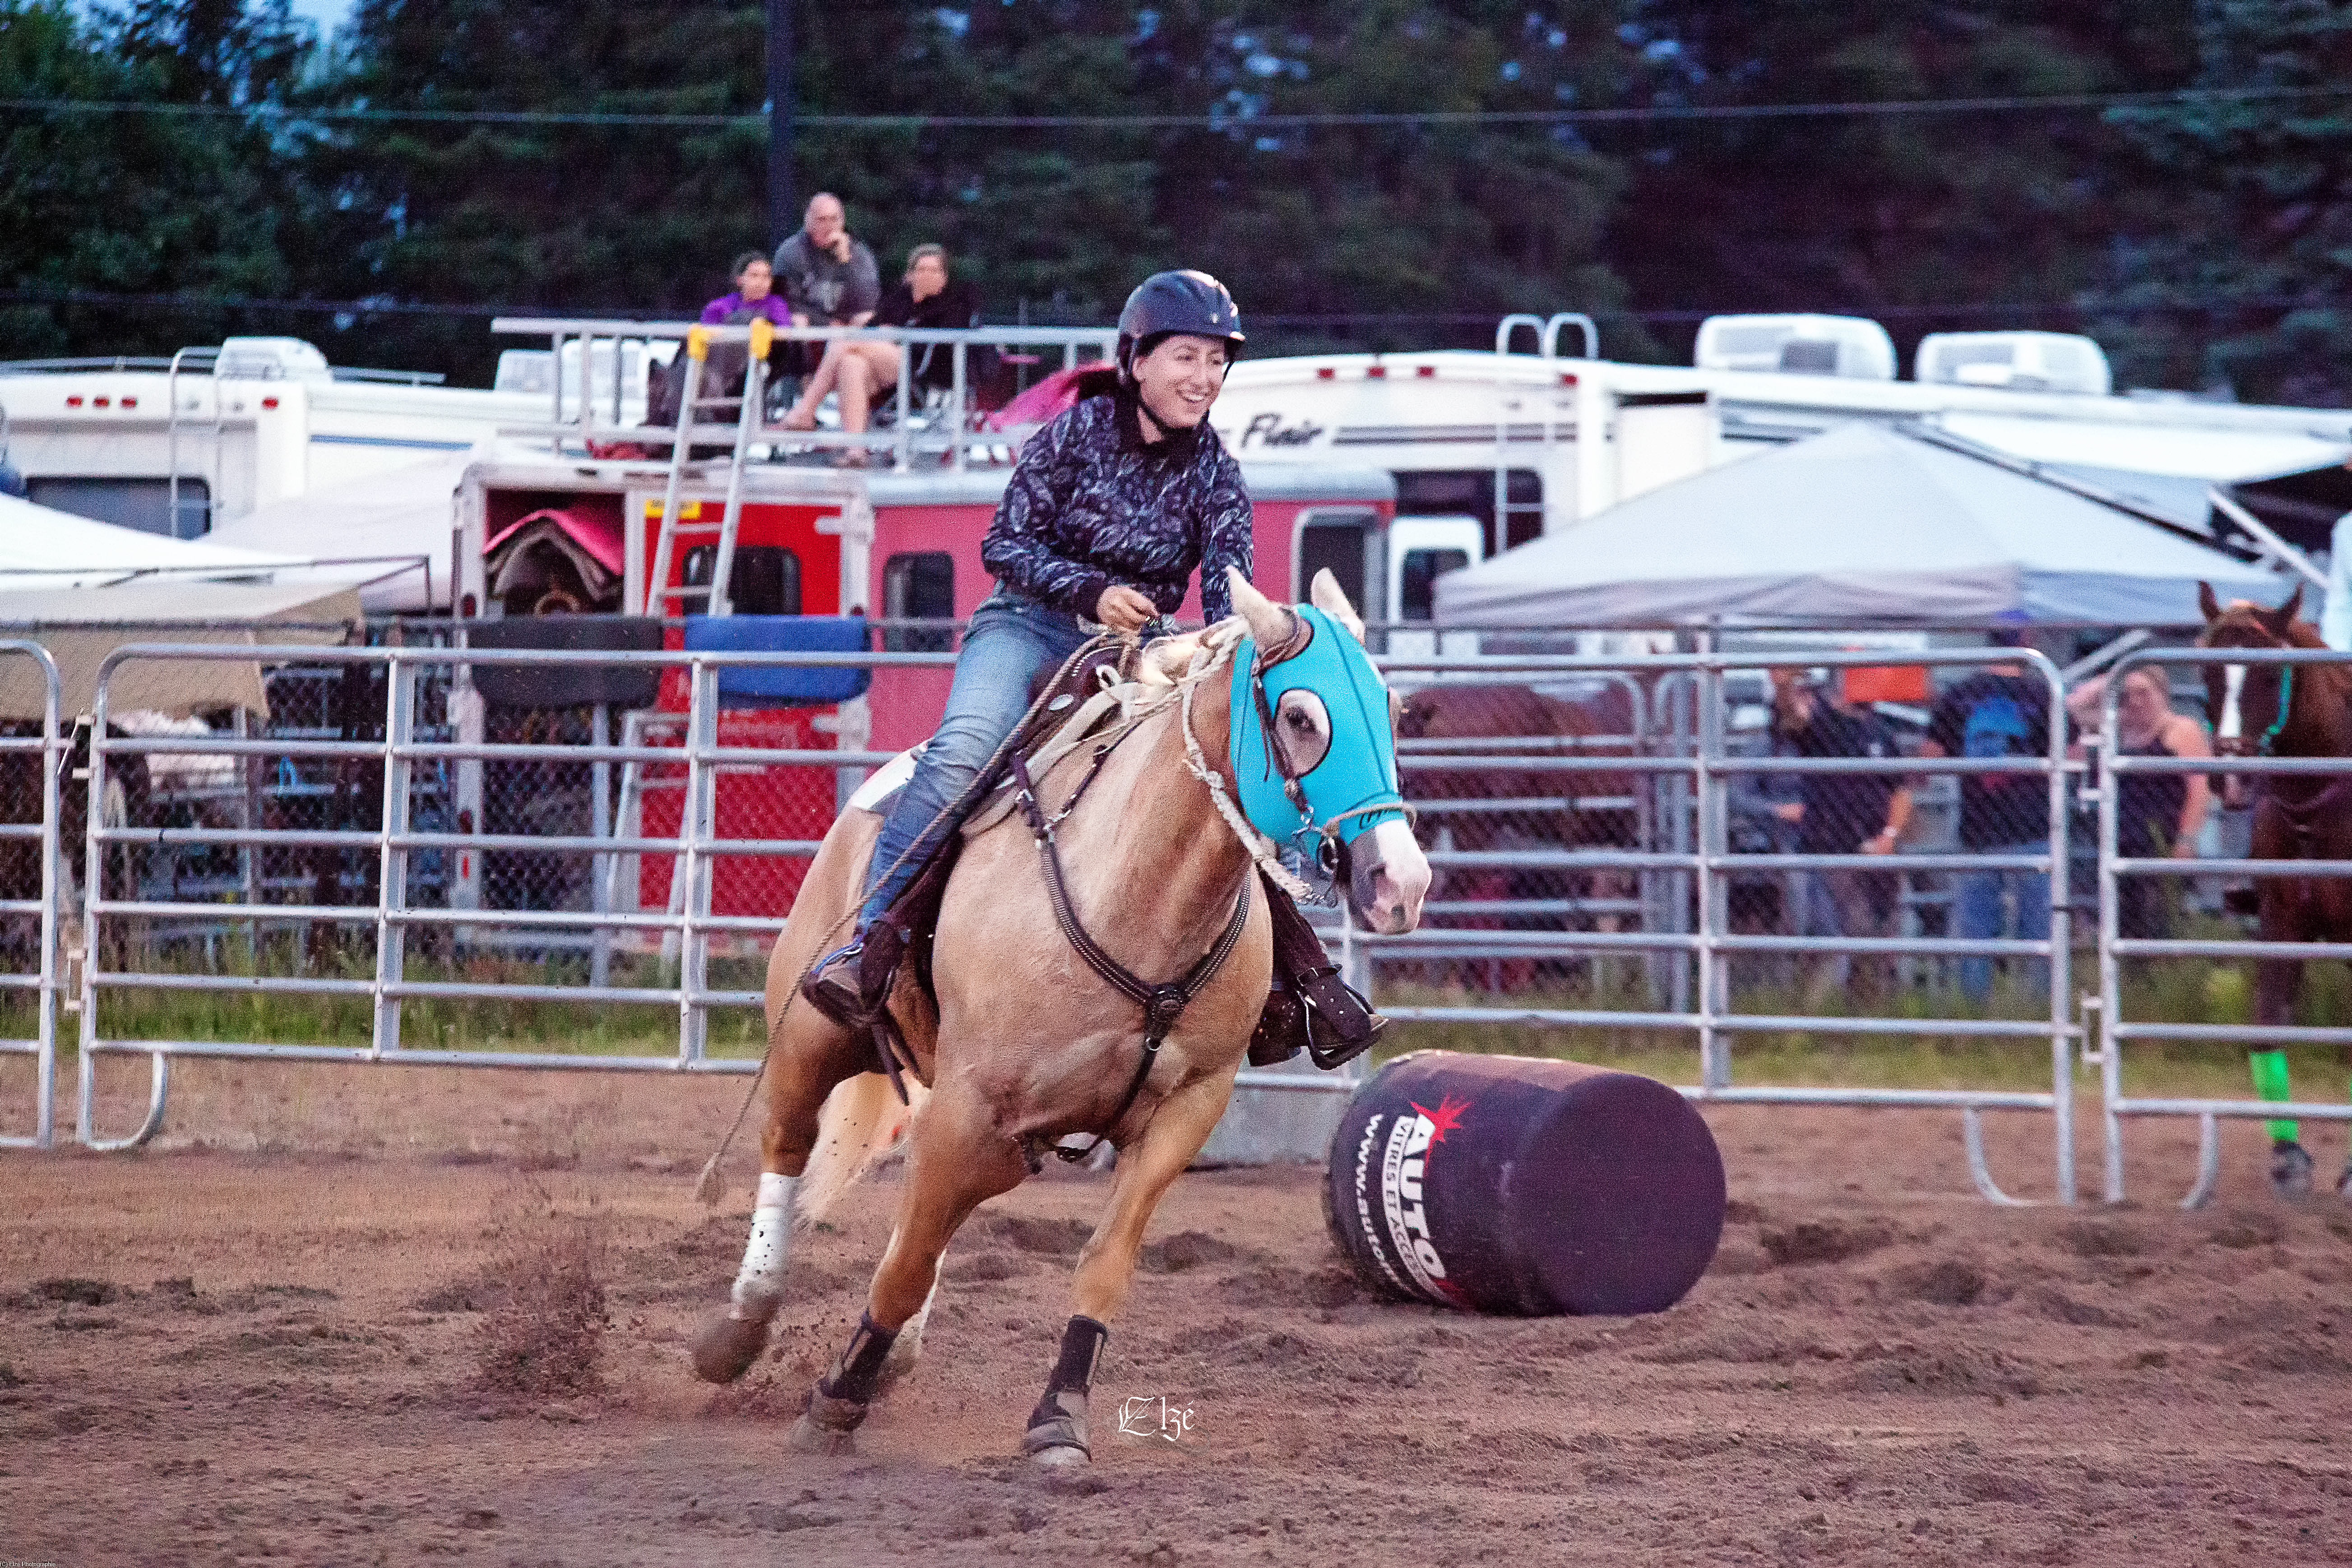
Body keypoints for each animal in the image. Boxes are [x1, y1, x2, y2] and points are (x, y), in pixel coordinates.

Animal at [688, 568, 1430, 1462]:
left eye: (1392, 710)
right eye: (1300, 716)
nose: (1401, 882)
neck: (1140, 899)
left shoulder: (1187, 1109)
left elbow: (1101, 1263)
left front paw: (1058, 1418)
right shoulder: (971, 1104)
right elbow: (903, 1266)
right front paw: (836, 1398)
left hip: (991, 1132)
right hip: (815, 1035)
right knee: (790, 1145)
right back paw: (740, 1328)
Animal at [2195, 583, 2352, 1200]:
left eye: (2268, 674)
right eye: (2208, 672)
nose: (2231, 775)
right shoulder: (2280, 926)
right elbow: (2265, 1030)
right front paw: (2288, 1158)